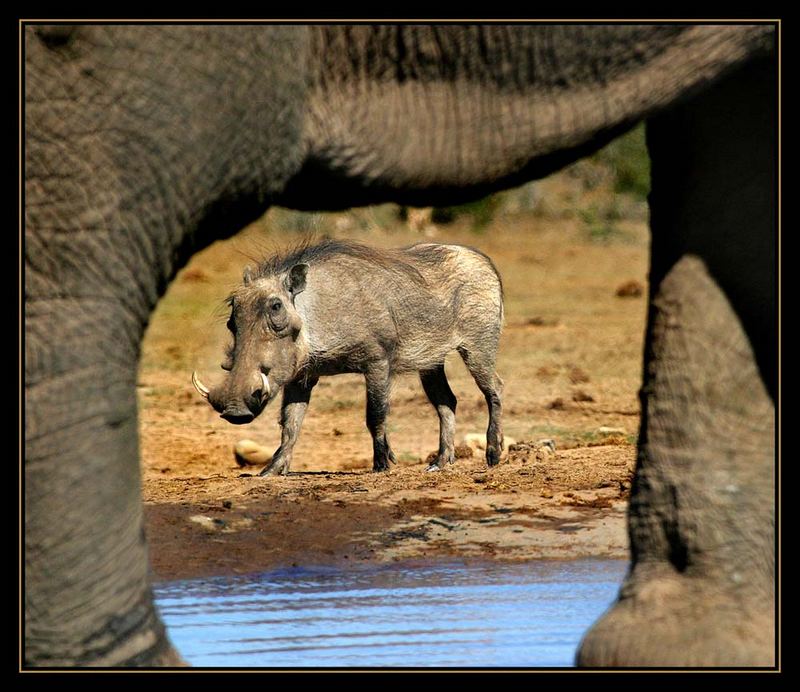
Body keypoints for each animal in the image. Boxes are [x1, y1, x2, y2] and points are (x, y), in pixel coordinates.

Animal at [25, 24, 776, 668]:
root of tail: (484, 258)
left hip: (476, 348)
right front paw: (271, 476)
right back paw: (440, 463)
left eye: (276, 312)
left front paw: (382, 467)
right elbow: (293, 424)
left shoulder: (378, 361)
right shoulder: (307, 377)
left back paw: (491, 457)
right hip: (435, 364)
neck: (317, 312)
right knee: (446, 407)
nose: (236, 406)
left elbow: (373, 415)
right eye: (232, 316)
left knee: (493, 394)